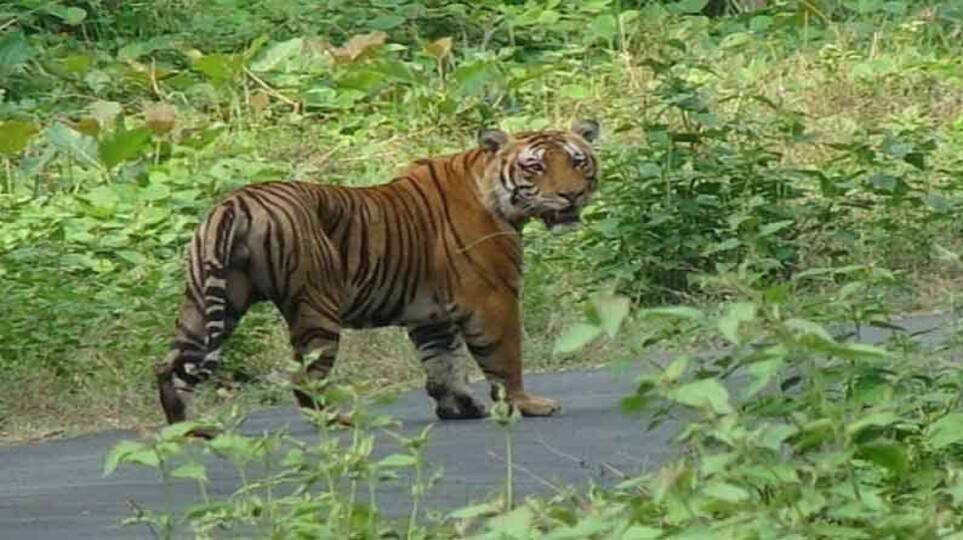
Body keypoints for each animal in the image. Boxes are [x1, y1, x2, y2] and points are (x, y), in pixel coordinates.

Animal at [154, 120, 601, 429]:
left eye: (577, 161)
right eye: (535, 167)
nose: (572, 195)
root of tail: (235, 203)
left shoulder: (431, 314)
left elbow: (443, 362)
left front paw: (458, 407)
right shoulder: (494, 298)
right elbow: (506, 359)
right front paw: (528, 405)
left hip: (210, 300)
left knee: (170, 366)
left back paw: (187, 430)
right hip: (315, 307)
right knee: (304, 378)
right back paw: (339, 421)